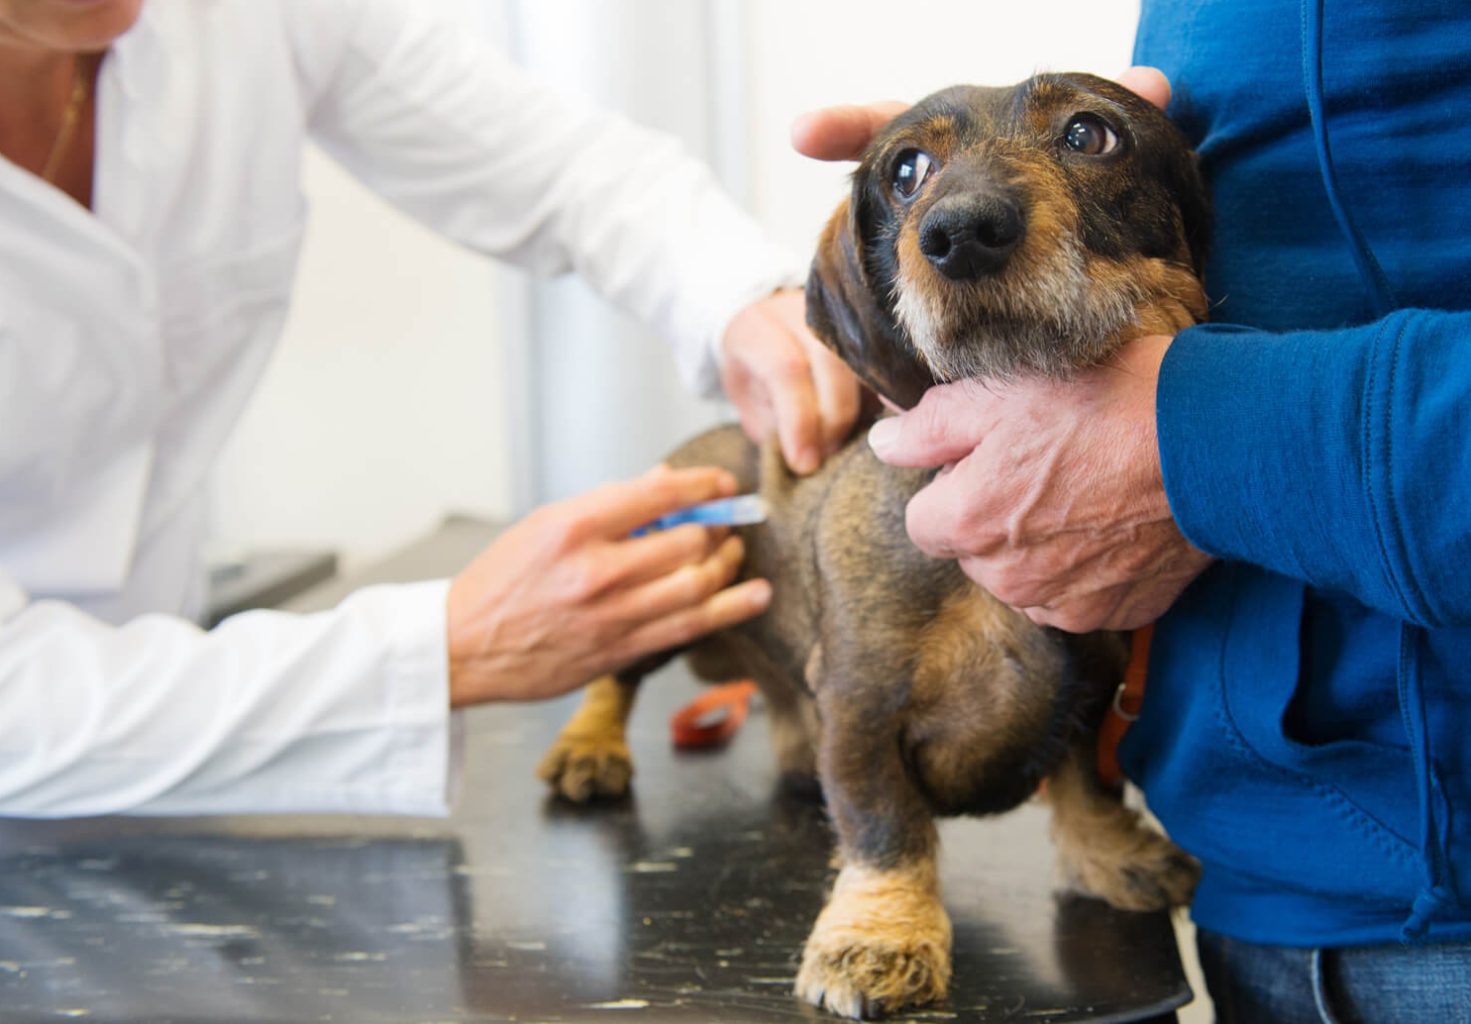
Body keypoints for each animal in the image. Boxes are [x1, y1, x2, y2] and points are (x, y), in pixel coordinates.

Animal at [535, 72, 1212, 1018]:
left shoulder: (1094, 690)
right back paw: (588, 747)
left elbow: (1086, 781)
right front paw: (878, 935)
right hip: (676, 580)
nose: (960, 234)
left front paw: (1109, 854)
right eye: (906, 170)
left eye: (1089, 134)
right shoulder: (861, 704)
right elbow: (886, 827)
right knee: (617, 673)